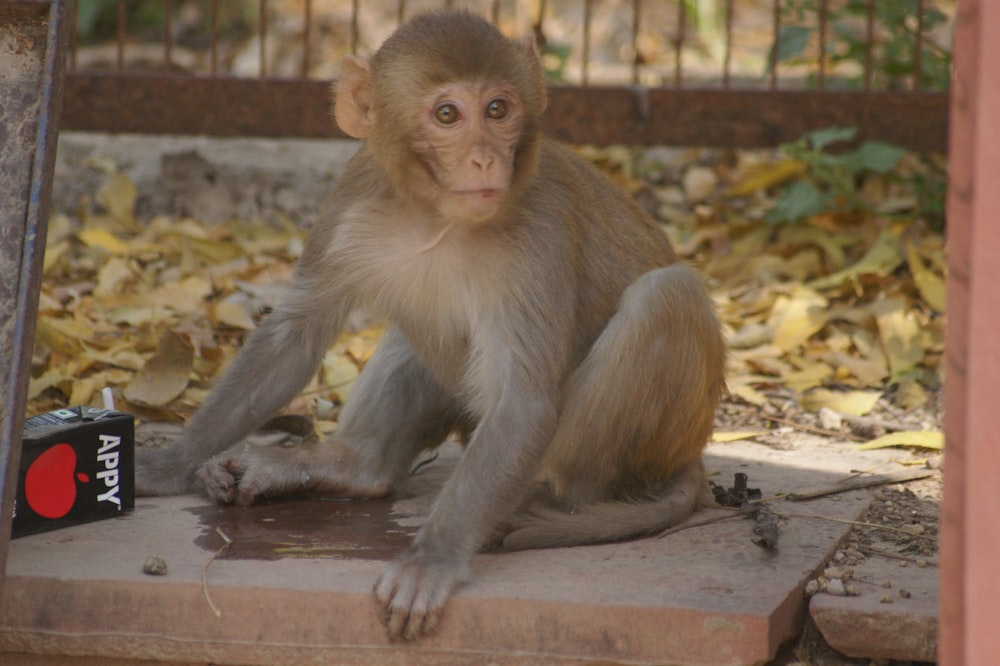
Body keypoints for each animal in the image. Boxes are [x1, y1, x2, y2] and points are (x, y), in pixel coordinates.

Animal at [133, 11, 728, 640]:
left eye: (498, 109)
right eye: (447, 115)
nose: (485, 159)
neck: (436, 215)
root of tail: (690, 455)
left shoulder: (536, 236)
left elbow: (521, 401)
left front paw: (432, 558)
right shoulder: (353, 197)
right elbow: (294, 337)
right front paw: (169, 465)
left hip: (649, 442)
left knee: (666, 297)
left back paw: (548, 505)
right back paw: (352, 469)